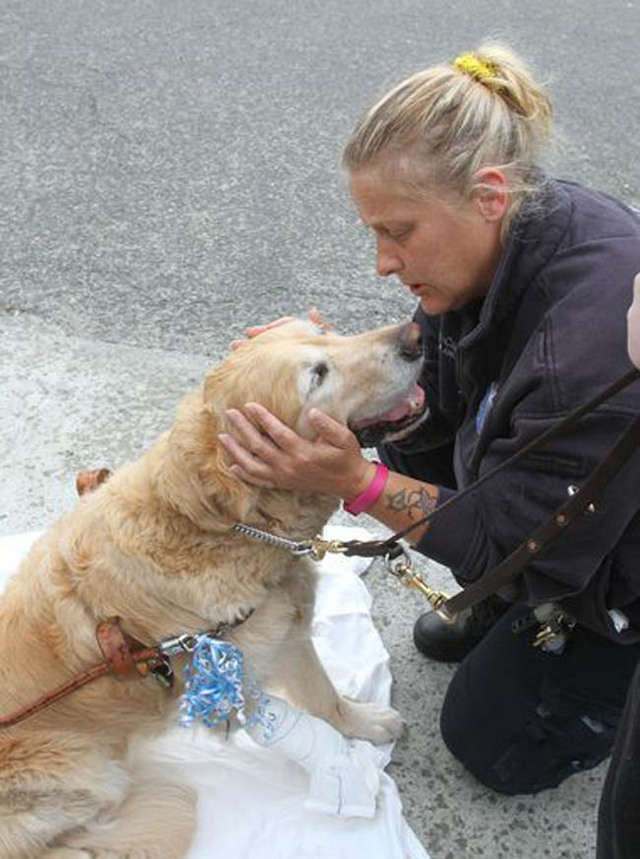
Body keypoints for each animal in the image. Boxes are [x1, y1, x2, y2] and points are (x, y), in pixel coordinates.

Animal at [2, 320, 428, 859]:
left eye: (325, 331)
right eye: (317, 375)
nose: (415, 336)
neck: (223, 525)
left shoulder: (284, 628)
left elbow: (323, 695)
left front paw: (360, 722)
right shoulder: (237, 670)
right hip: (86, 771)